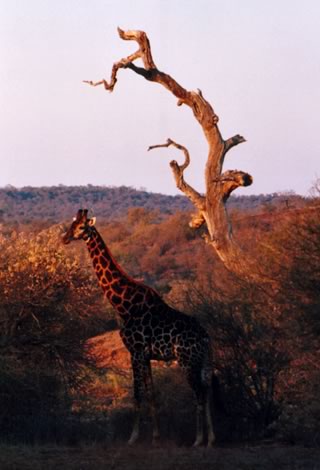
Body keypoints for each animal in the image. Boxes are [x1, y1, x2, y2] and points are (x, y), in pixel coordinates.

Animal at [62, 210, 216, 448]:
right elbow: (151, 393)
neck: (124, 304)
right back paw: (211, 439)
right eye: (72, 224)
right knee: (207, 391)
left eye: (80, 227)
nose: (64, 238)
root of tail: (206, 338)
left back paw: (198, 440)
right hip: (203, 362)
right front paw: (156, 437)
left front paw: (133, 437)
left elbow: (137, 394)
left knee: (198, 393)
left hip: (186, 361)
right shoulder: (147, 355)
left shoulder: (135, 351)